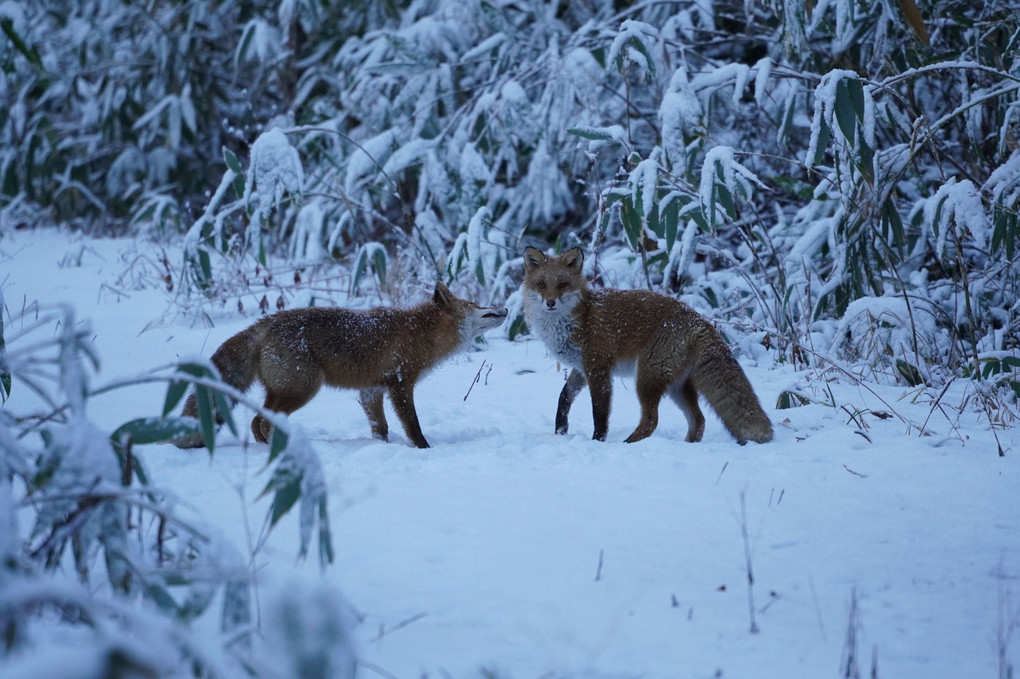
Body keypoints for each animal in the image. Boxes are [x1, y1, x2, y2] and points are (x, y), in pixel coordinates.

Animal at [178, 281, 510, 448]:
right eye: (475, 305)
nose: (505, 308)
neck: (420, 334)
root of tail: (264, 323)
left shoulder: (371, 390)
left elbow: (381, 428)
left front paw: (381, 448)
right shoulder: (400, 384)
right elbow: (413, 426)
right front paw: (423, 449)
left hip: (284, 391)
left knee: (255, 422)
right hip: (303, 389)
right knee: (262, 421)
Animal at [526, 244, 771, 444]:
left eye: (563, 284)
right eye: (541, 285)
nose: (550, 302)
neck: (579, 317)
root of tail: (699, 319)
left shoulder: (598, 368)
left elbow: (600, 412)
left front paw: (597, 441)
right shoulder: (581, 367)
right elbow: (564, 397)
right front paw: (560, 430)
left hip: (646, 379)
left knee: (652, 420)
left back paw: (628, 443)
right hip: (676, 386)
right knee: (699, 419)